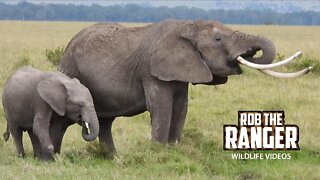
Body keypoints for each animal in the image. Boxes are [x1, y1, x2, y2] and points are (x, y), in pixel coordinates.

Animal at [58, 19, 310, 154]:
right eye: (218, 39)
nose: (307, 65)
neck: (187, 26)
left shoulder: (181, 74)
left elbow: (181, 108)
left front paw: (173, 149)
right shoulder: (152, 72)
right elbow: (162, 108)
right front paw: (158, 152)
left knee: (105, 122)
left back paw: (113, 158)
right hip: (70, 69)